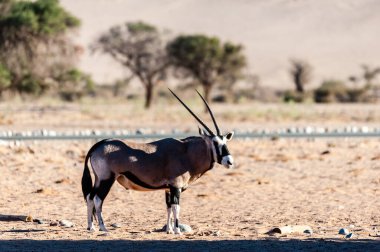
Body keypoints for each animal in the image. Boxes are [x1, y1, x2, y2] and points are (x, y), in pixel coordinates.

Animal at [81, 89, 233, 234]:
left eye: (225, 142)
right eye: (215, 142)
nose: (229, 161)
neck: (186, 151)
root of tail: (99, 145)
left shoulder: (168, 188)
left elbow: (168, 208)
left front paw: (169, 230)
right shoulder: (176, 186)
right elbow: (176, 207)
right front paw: (177, 230)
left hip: (99, 179)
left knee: (90, 197)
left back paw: (91, 227)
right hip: (107, 179)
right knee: (98, 199)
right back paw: (103, 227)